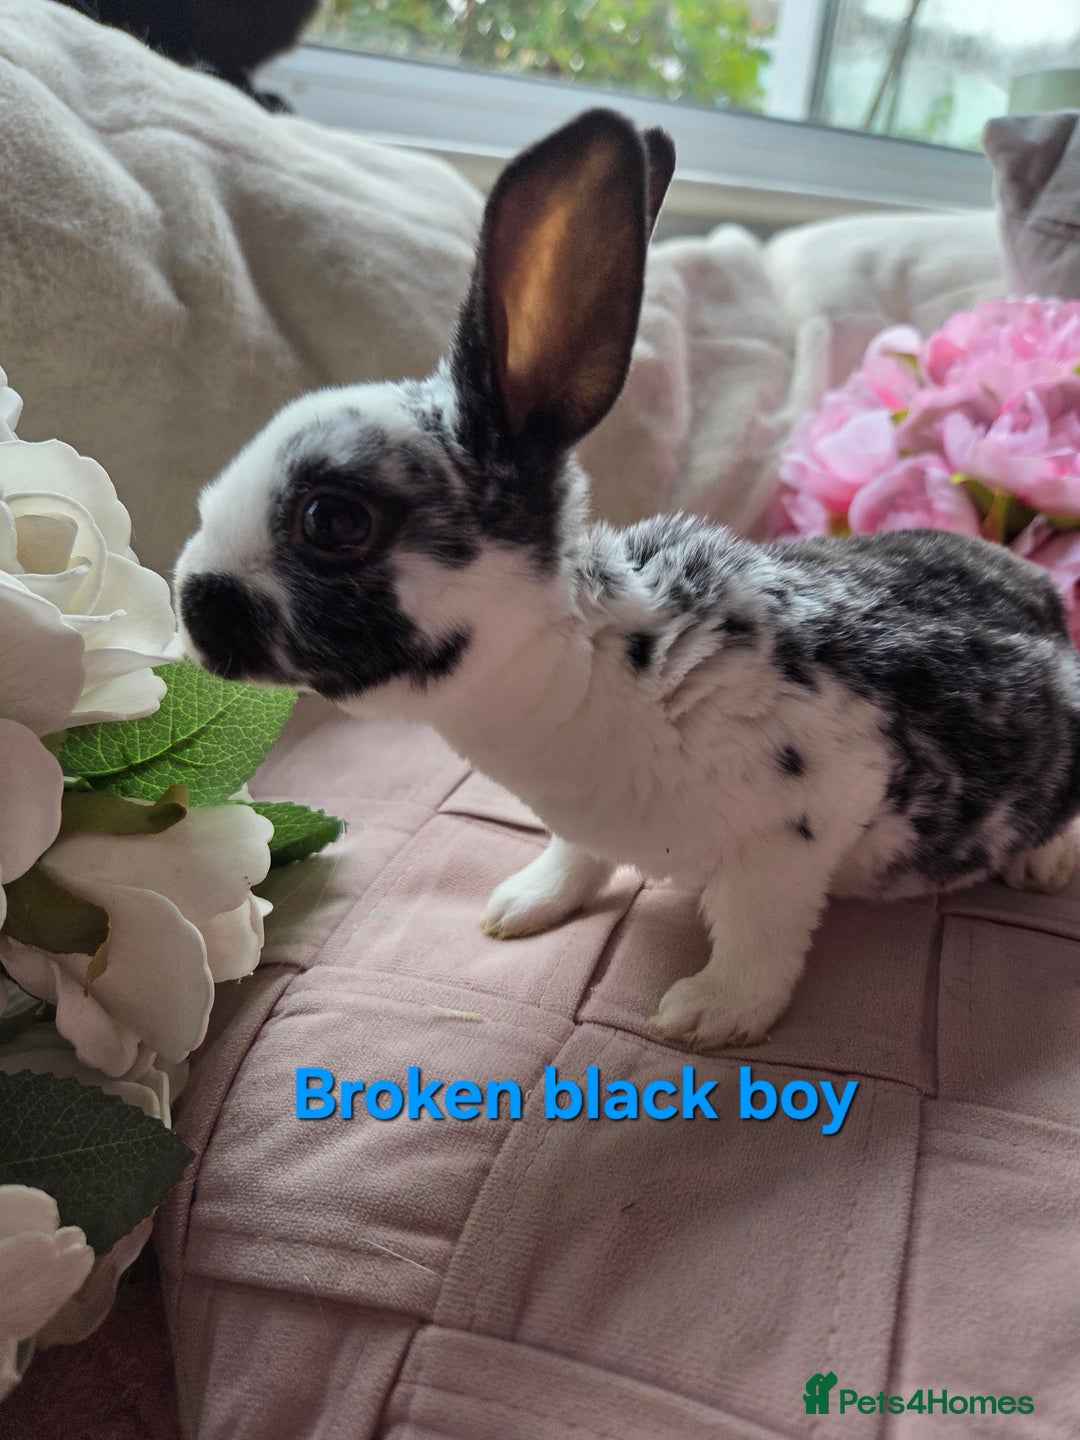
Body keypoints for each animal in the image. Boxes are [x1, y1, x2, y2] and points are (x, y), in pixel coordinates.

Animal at [175, 107, 1080, 1050]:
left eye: (333, 519)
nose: (191, 602)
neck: (589, 660)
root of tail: (1047, 599)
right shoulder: (586, 824)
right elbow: (576, 859)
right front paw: (522, 907)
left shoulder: (798, 829)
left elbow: (760, 932)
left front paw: (707, 1015)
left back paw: (1044, 866)